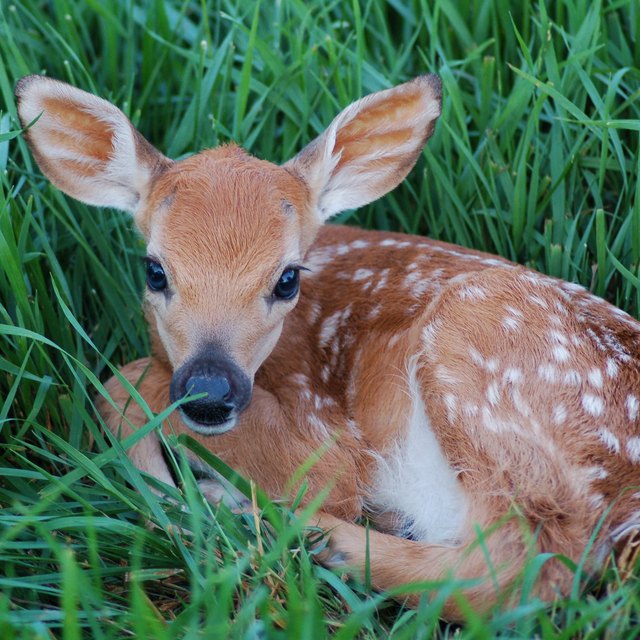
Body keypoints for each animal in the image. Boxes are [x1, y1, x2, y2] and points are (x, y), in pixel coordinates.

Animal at [15, 72, 640, 616]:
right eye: (154, 270)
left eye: (288, 278)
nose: (210, 392)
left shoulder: (327, 436)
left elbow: (125, 379)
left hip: (482, 344)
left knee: (526, 563)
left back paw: (286, 526)